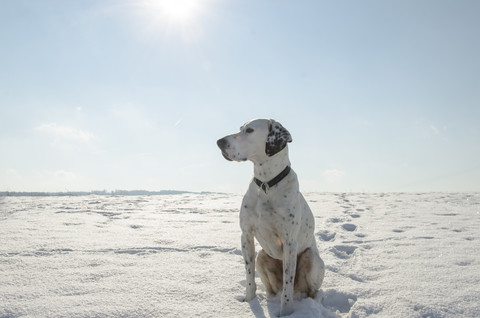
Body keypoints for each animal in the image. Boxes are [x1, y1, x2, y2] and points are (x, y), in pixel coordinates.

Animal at [218, 118, 326, 316]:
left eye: (250, 130)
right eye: (240, 128)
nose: (219, 142)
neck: (266, 185)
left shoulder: (289, 242)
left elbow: (288, 284)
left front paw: (286, 313)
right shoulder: (246, 235)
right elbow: (249, 277)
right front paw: (249, 302)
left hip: (311, 258)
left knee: (310, 290)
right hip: (262, 256)